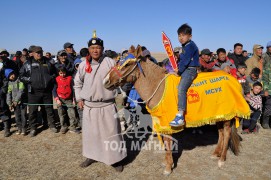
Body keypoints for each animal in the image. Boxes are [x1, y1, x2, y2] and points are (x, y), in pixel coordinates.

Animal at [103, 44, 251, 174]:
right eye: (119, 61)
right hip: (219, 114)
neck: (158, 86)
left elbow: (168, 143)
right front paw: (167, 162)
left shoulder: (166, 122)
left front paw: (168, 167)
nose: (105, 81)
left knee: (226, 134)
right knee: (221, 133)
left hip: (226, 116)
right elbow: (165, 143)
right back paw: (216, 153)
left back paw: (222, 159)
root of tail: (234, 81)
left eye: (127, 64)